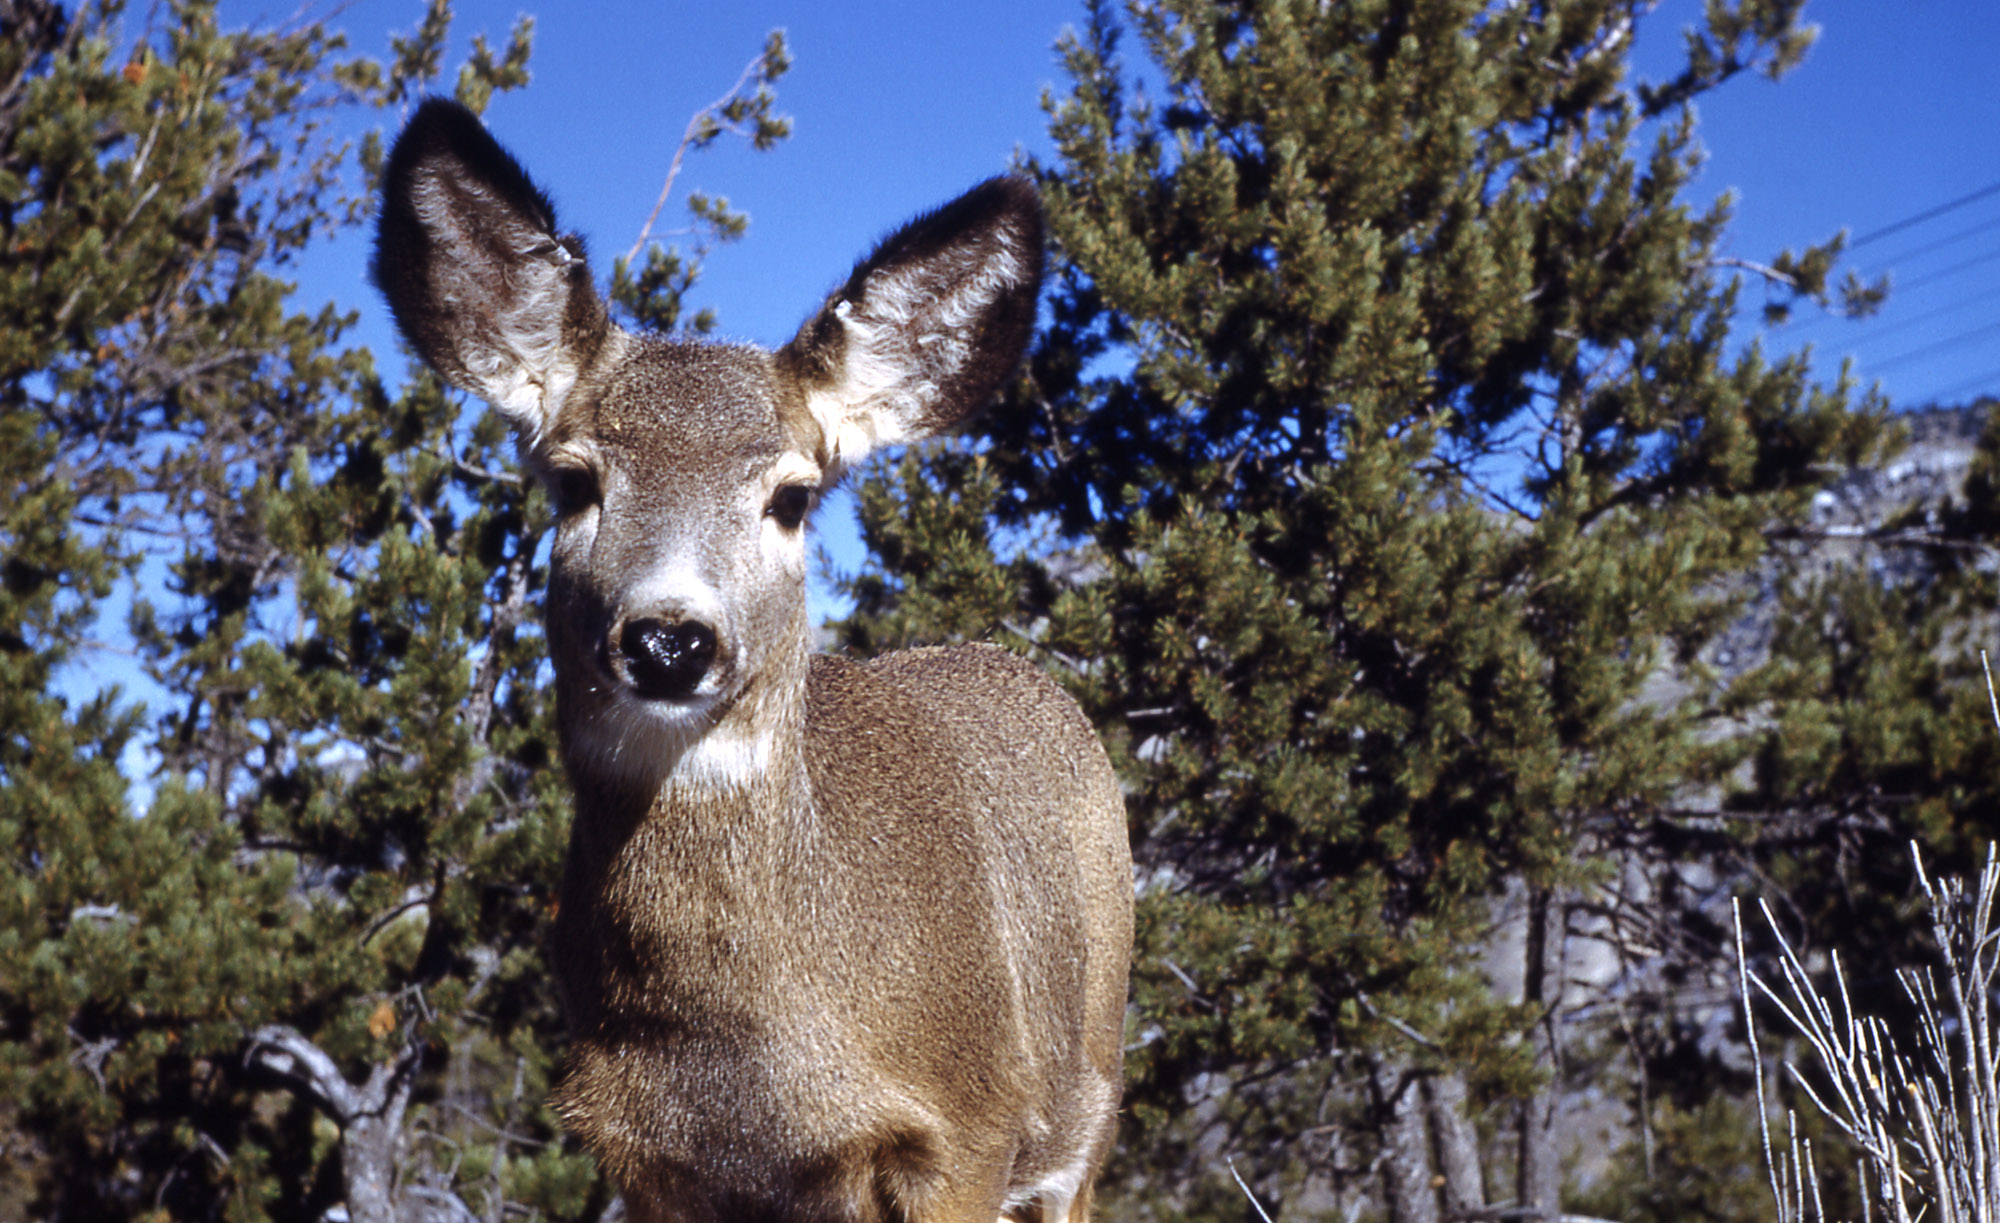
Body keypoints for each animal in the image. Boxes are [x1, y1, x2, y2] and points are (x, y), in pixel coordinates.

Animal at [372, 98, 1133, 1222]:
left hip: (1086, 1107)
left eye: (792, 496)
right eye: (571, 481)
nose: (668, 638)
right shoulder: (647, 1157)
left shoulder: (966, 1126)